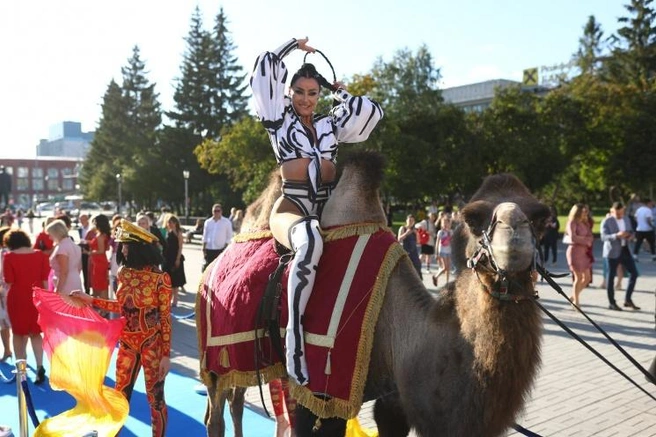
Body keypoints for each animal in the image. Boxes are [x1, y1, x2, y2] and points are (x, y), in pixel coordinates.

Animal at [199, 151, 548, 436]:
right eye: (473, 218)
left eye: (541, 217)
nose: (514, 238)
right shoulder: (324, 390)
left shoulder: (392, 400)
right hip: (216, 355)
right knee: (215, 413)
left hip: (247, 354)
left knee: (237, 399)